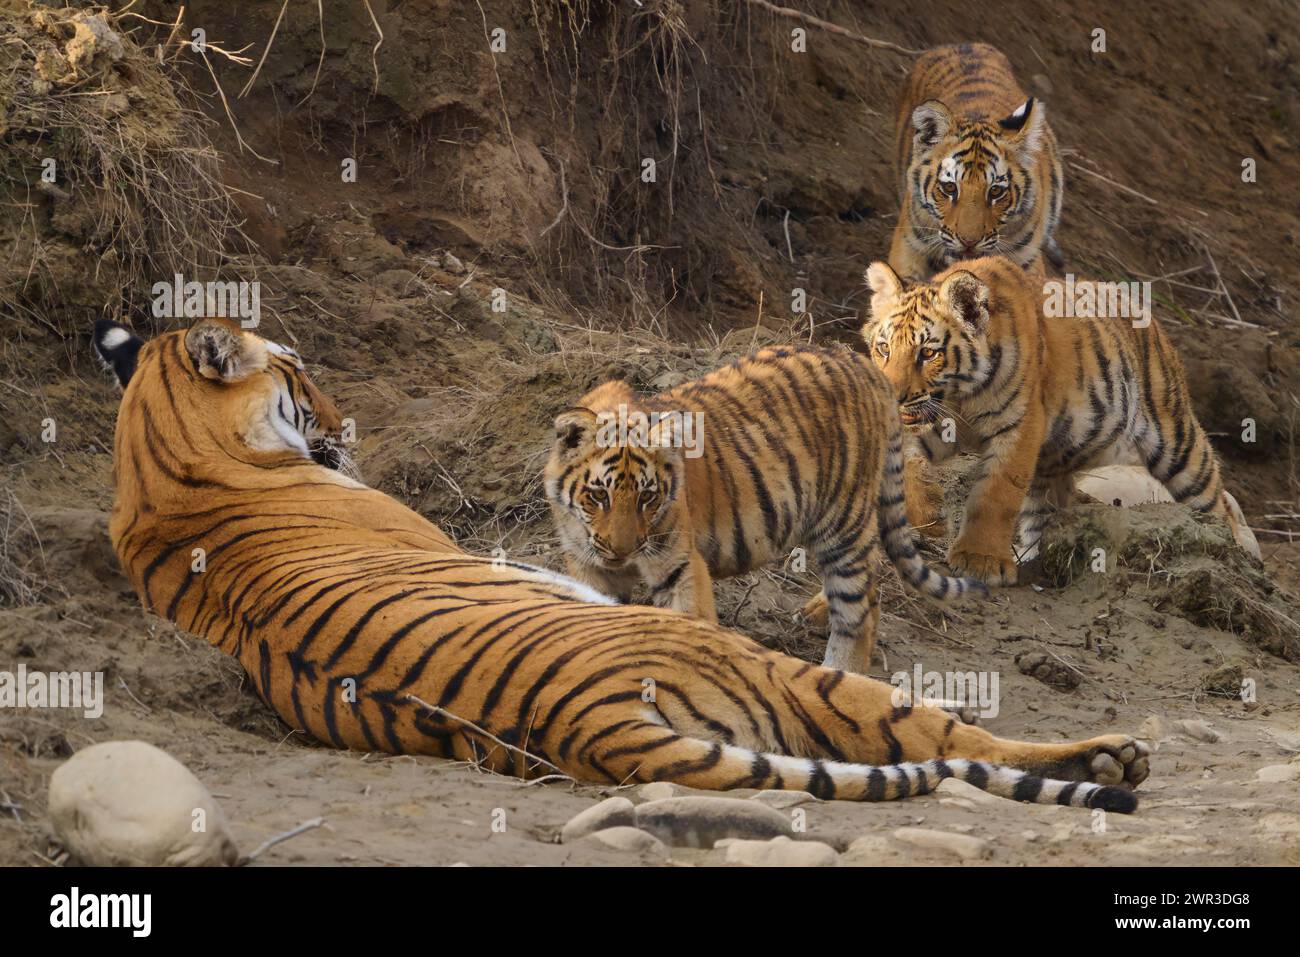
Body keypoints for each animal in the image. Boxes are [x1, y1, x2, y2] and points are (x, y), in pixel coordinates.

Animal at [89, 319, 1149, 806]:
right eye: (299, 373)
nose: (345, 421)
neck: (155, 464)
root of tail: (586, 722)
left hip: (832, 553)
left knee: (885, 641)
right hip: (785, 679)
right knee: (955, 736)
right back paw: (1117, 756)